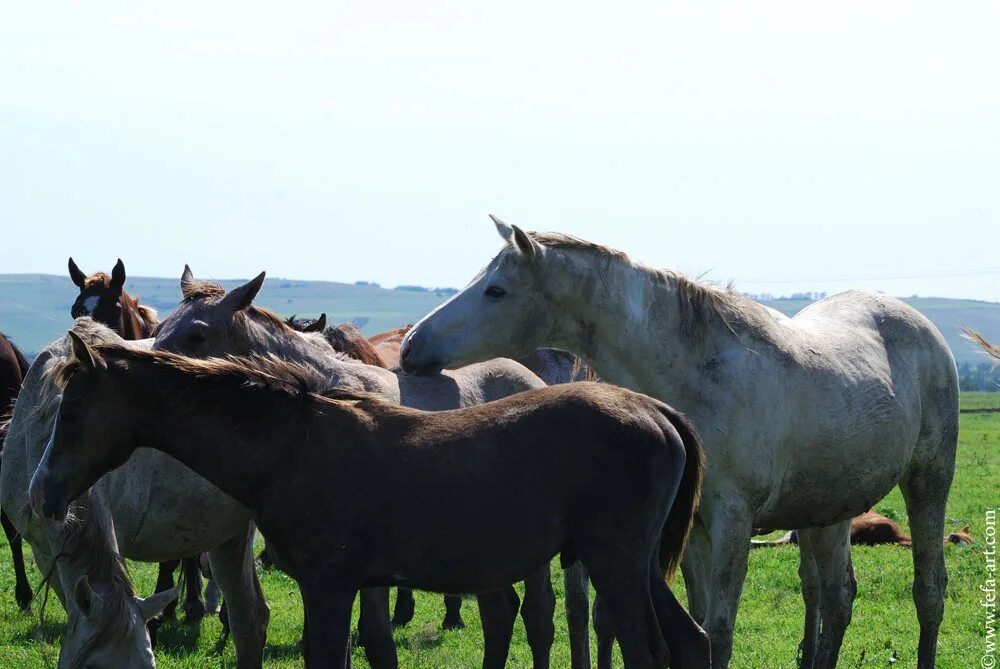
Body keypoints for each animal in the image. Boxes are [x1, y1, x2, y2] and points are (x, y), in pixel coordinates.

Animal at [31, 336, 712, 668]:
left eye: (73, 411)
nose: (41, 494)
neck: (290, 447)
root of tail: (657, 411)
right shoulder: (351, 587)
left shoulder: (330, 586)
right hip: (638, 566)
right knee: (690, 643)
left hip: (614, 563)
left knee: (649, 651)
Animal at [398, 218, 960, 668]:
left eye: (495, 290)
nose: (408, 348)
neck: (693, 374)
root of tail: (920, 327)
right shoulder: (692, 531)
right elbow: (694, 621)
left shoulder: (734, 522)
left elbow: (719, 633)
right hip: (829, 511)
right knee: (837, 598)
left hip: (928, 483)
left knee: (928, 592)